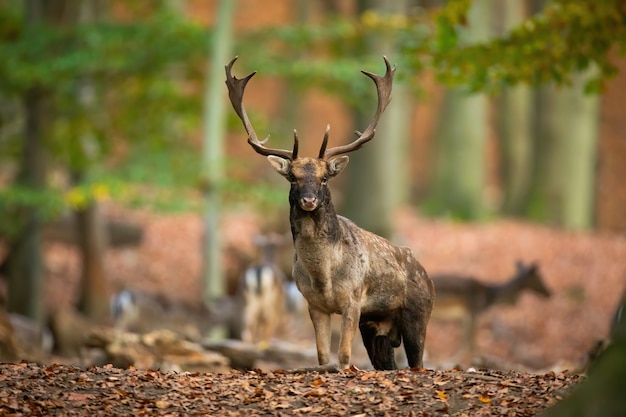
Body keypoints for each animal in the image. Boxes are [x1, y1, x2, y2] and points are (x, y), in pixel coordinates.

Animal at [224, 56, 434, 370]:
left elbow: (344, 357)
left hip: (418, 314)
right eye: (293, 177)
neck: (324, 276)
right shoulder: (313, 304)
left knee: (417, 363)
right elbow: (323, 357)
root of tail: (426, 273)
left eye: (324, 178)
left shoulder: (354, 299)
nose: (309, 199)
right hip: (377, 326)